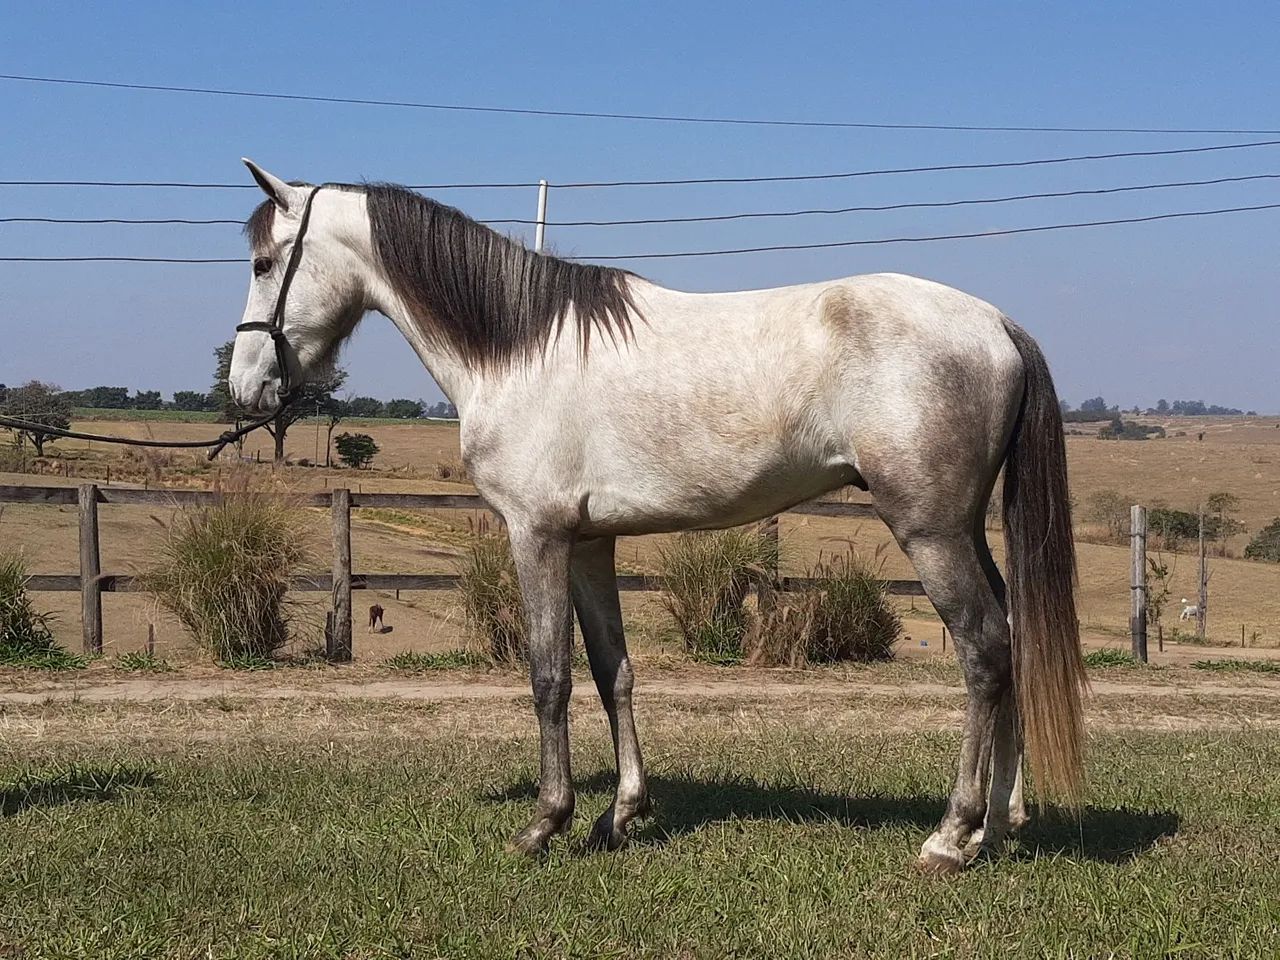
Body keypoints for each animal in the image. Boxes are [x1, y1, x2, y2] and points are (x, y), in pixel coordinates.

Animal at [227, 161, 1086, 874]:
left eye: (265, 264)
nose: (245, 386)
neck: (517, 348)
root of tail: (996, 325)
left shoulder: (537, 537)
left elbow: (549, 677)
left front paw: (545, 824)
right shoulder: (589, 543)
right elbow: (615, 672)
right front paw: (620, 816)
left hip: (930, 533)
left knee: (984, 652)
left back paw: (951, 835)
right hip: (966, 530)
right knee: (1013, 639)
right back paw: (1001, 824)